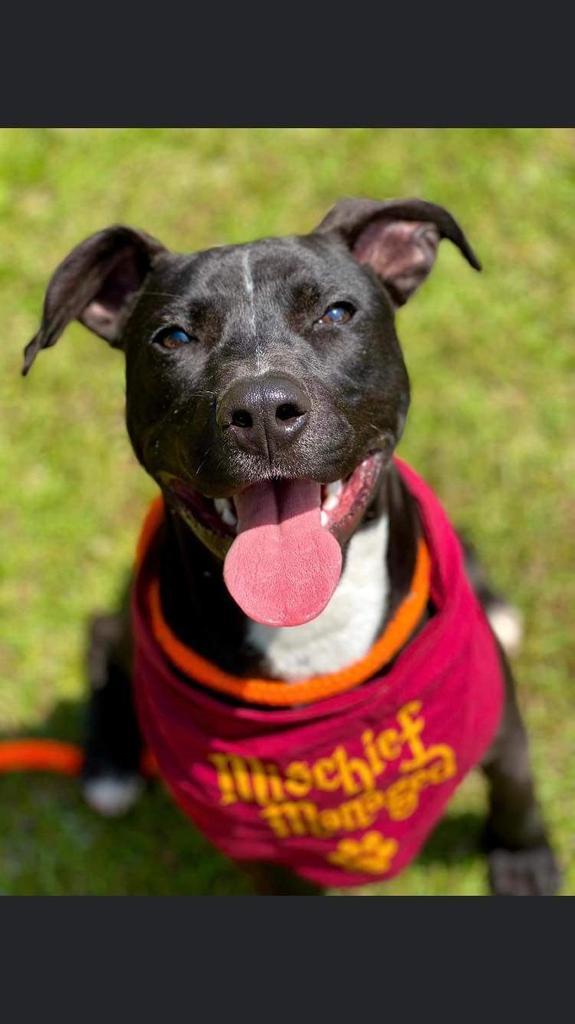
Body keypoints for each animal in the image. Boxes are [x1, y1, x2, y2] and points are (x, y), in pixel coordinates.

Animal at [23, 199, 560, 897]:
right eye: (173, 338)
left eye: (336, 313)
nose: (262, 409)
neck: (311, 622)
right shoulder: (265, 852)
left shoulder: (493, 706)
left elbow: (517, 787)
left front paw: (525, 859)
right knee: (100, 633)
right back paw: (110, 763)